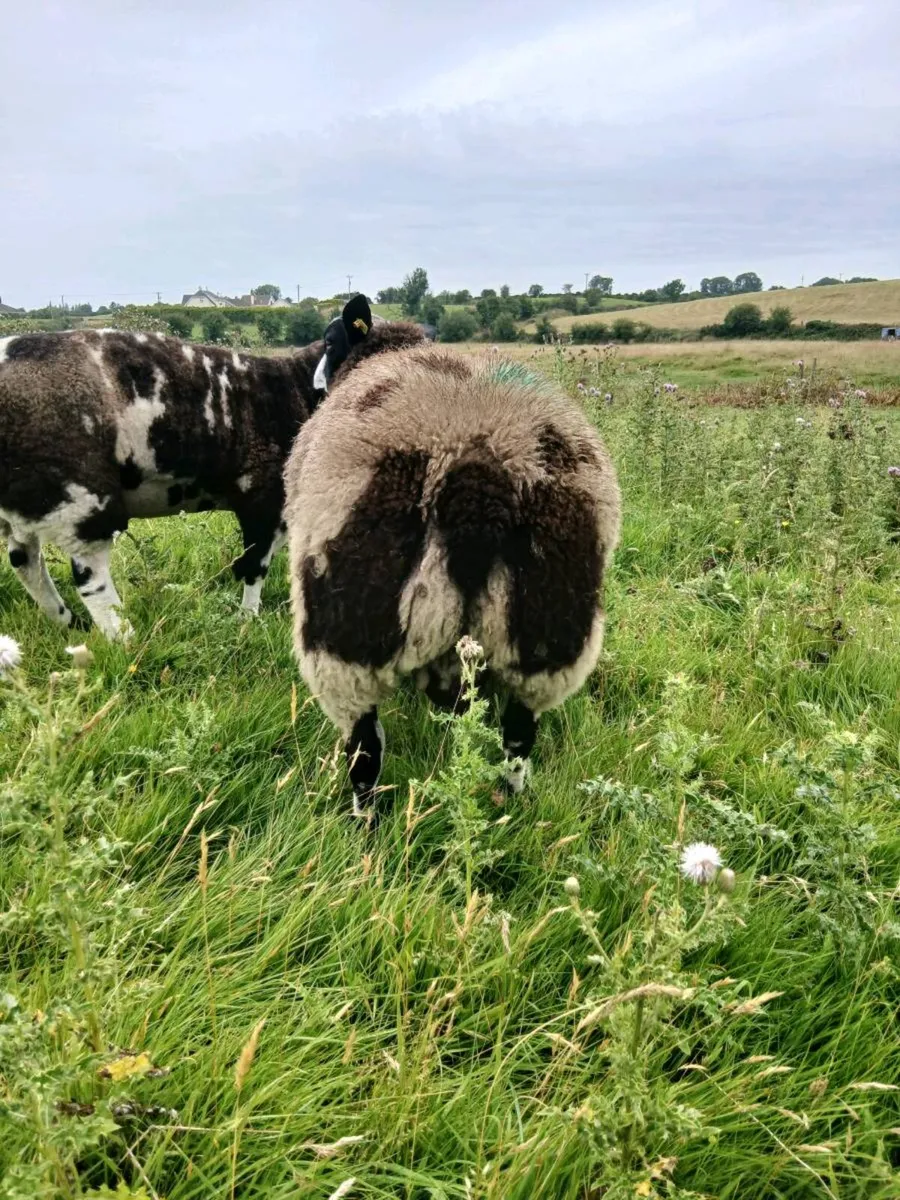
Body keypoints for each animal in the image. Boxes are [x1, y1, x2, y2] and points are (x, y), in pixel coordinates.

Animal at [0, 328, 323, 638]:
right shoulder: (263, 496)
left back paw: (68, 622)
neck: (296, 387)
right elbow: (254, 566)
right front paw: (249, 619)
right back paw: (123, 638)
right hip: (79, 499)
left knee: (25, 561)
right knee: (89, 577)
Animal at [285, 295, 621, 816]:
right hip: (550, 631)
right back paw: (508, 803)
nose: (315, 381)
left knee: (365, 749)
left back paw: (363, 826)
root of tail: (478, 473)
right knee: (519, 733)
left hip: (344, 636)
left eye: (329, 339)